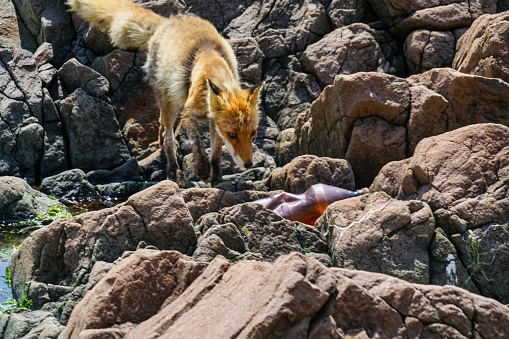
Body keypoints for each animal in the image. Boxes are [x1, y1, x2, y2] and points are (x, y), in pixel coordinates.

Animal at [67, 0, 262, 186]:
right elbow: (197, 142)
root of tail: (169, 21)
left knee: (163, 128)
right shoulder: (188, 114)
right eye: (232, 134)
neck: (211, 62)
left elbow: (216, 152)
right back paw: (174, 172)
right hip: (170, 100)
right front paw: (202, 169)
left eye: (253, 133)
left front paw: (217, 178)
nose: (249, 164)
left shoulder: (215, 122)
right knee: (168, 137)